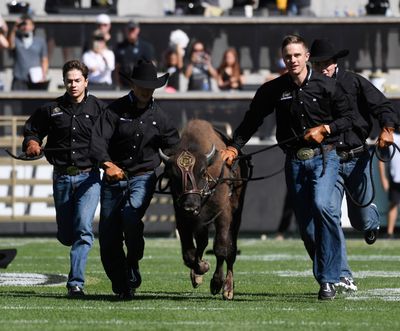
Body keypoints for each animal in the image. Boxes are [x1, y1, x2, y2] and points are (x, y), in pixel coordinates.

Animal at [159, 120, 247, 300]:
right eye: (173, 175)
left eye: (202, 171)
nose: (190, 206)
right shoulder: (183, 219)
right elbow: (189, 252)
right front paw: (202, 268)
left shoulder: (223, 215)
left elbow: (221, 247)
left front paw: (216, 283)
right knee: (202, 243)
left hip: (236, 215)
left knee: (231, 248)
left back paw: (228, 288)